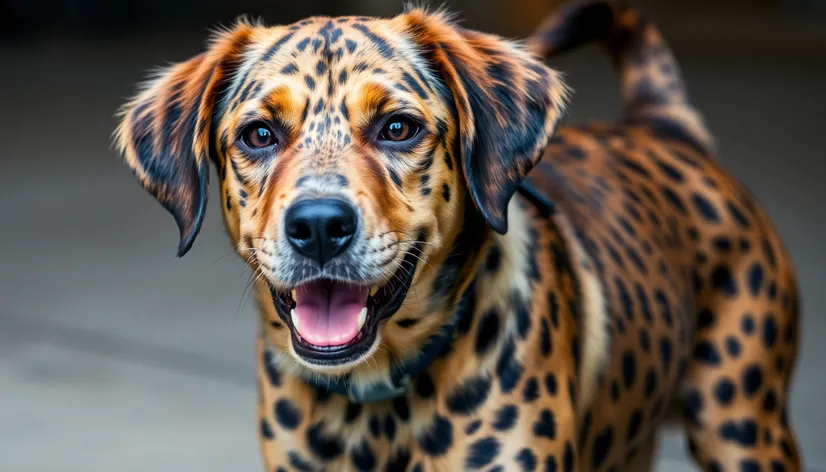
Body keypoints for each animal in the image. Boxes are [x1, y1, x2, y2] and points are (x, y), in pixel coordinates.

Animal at [114, 1, 800, 470]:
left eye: (398, 127)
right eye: (259, 134)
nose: (319, 227)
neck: (376, 409)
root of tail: (664, 127)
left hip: (743, 426)